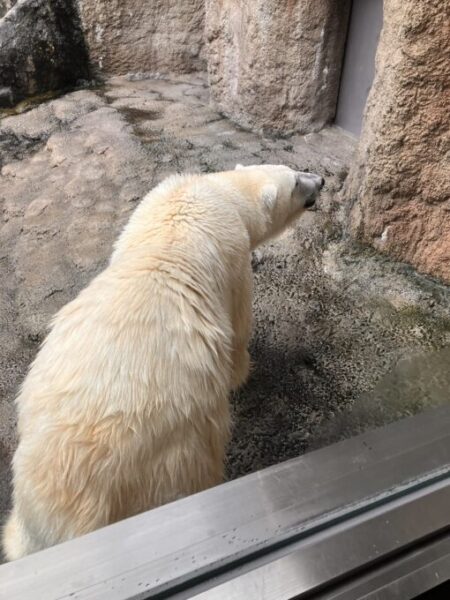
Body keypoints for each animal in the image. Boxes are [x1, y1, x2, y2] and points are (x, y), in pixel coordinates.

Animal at [1, 163, 322, 556]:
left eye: (297, 170)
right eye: (296, 181)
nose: (322, 181)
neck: (214, 193)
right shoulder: (234, 261)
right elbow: (239, 328)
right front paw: (243, 371)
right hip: (171, 458)